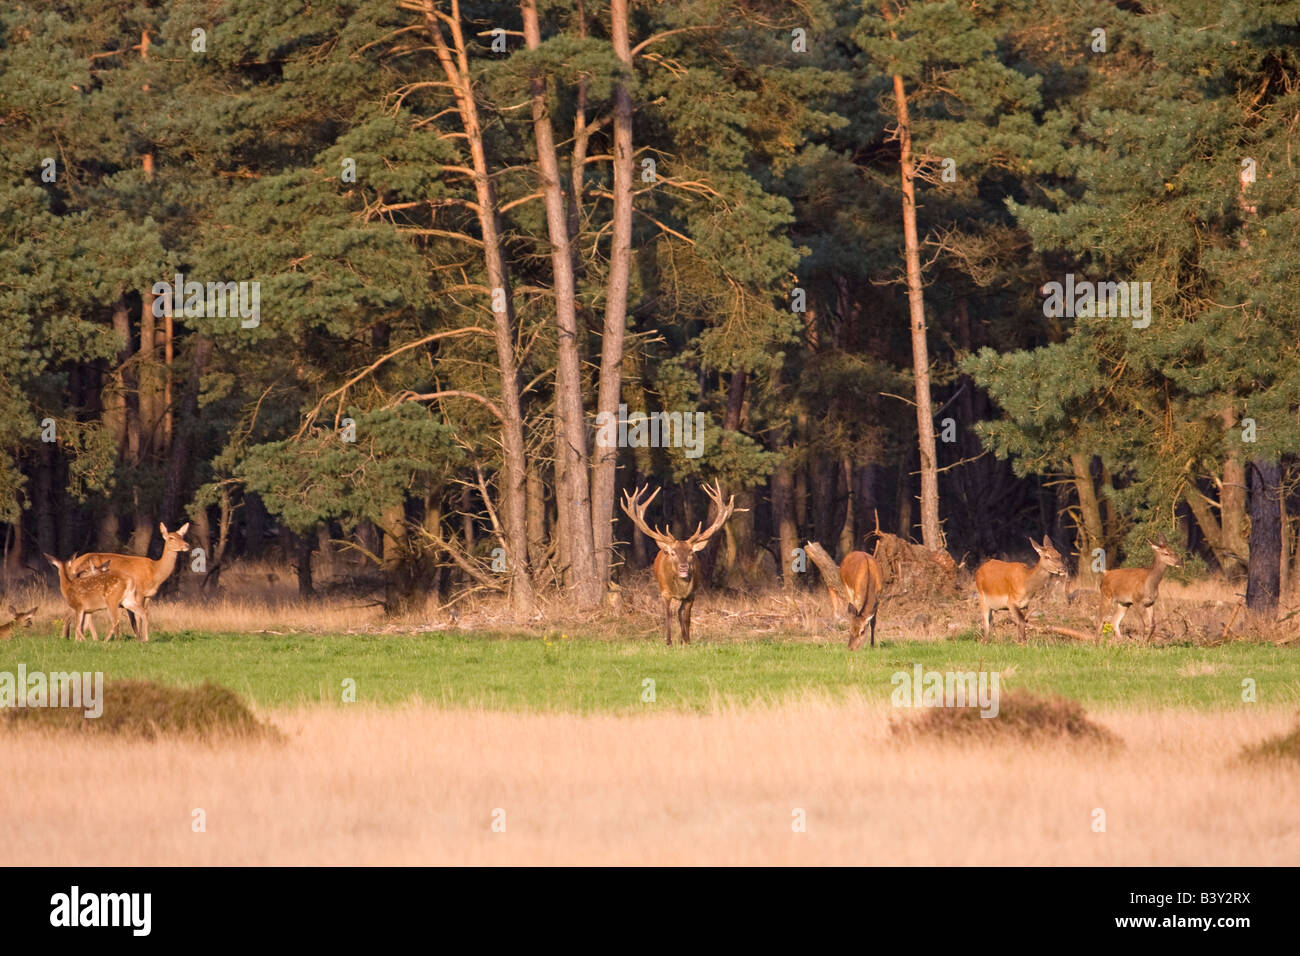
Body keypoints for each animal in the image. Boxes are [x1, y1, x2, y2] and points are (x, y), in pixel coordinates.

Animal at [620, 481, 738, 646]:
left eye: (691, 553)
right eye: (673, 553)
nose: (684, 567)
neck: (680, 590)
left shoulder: (692, 594)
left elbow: (687, 617)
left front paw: (687, 641)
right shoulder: (665, 592)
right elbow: (668, 615)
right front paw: (668, 642)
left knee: (681, 612)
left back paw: (684, 639)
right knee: (675, 612)